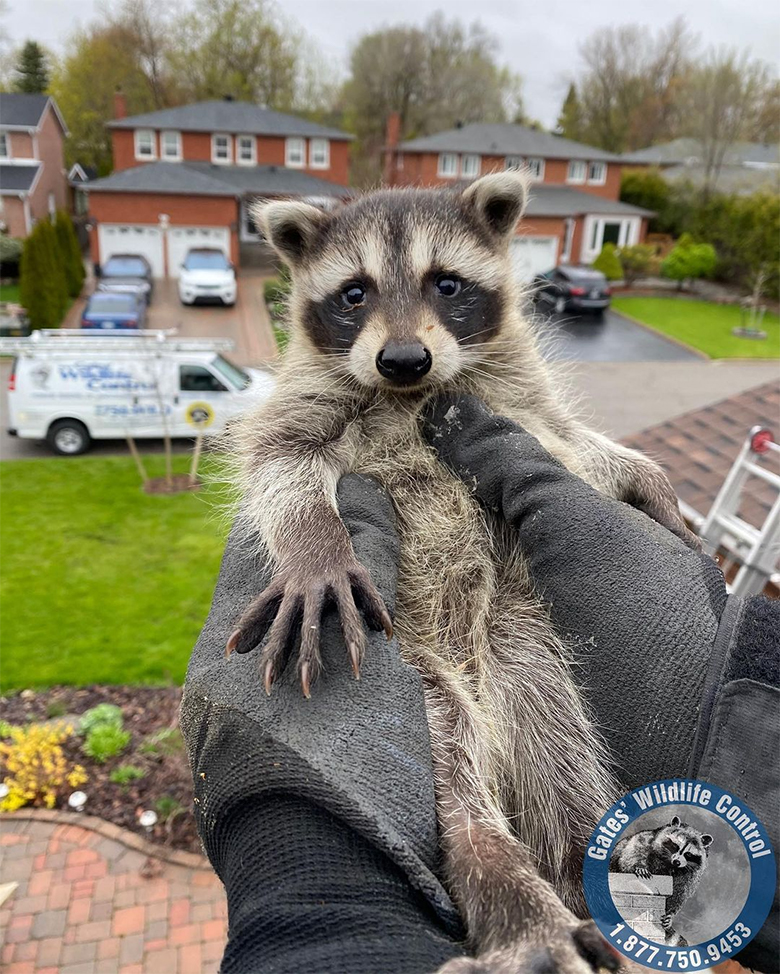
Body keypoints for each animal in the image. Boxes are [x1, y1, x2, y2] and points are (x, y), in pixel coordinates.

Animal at [224, 172, 688, 972]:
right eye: (354, 293)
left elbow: (569, 447)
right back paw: (504, 882)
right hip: (422, 680)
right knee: (456, 784)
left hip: (525, 650)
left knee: (562, 769)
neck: (410, 396)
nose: (404, 359)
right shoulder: (303, 400)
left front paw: (637, 470)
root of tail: (472, 670)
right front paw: (317, 546)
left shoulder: (518, 404)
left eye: (446, 284)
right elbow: (277, 462)